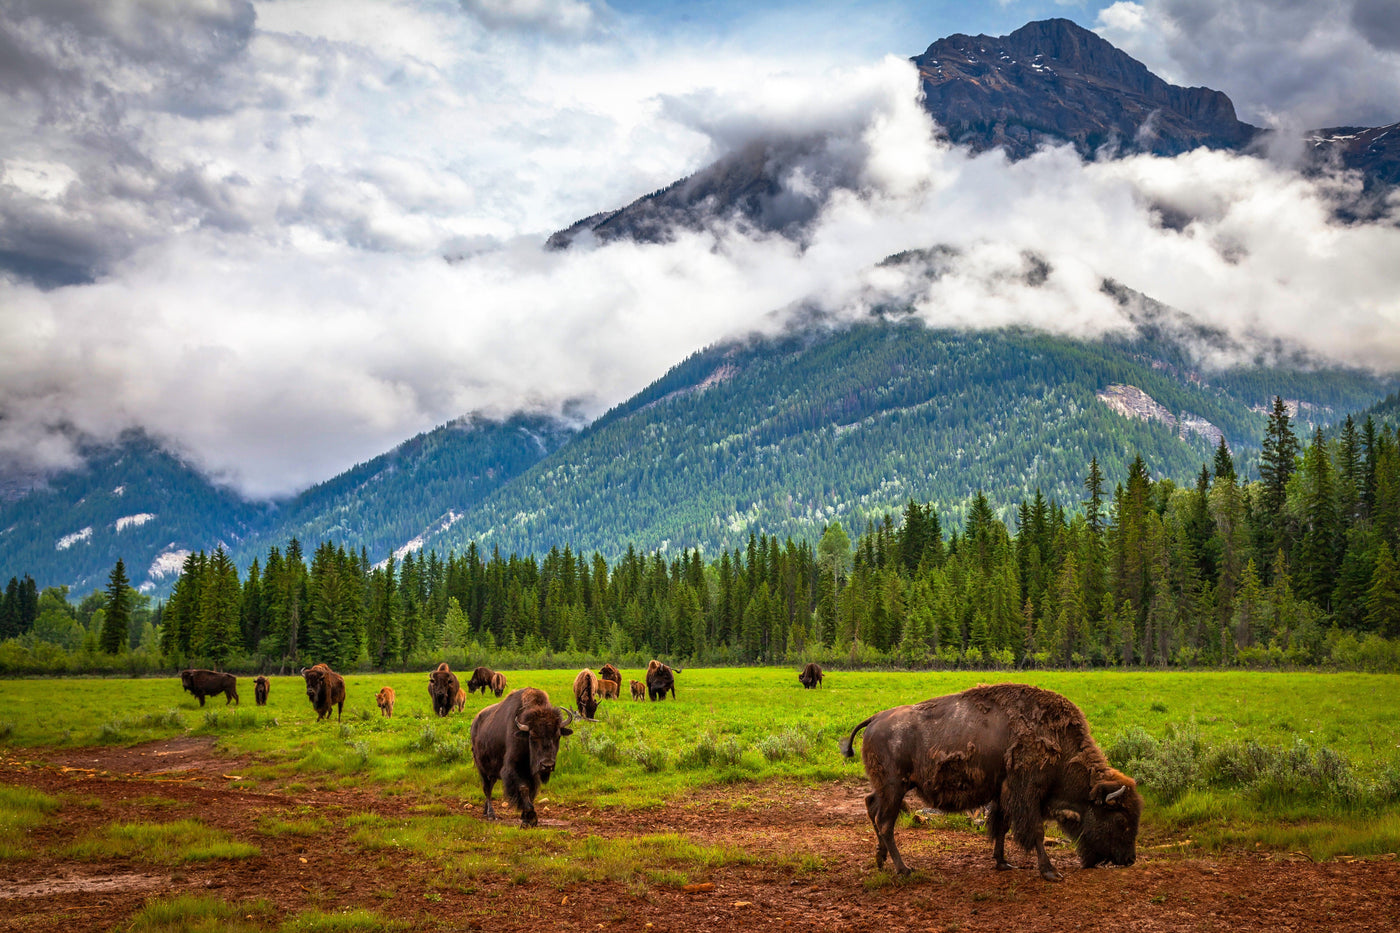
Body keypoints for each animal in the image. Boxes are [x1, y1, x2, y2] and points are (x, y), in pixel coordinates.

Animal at [470, 688, 577, 827]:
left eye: (558, 735)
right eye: (533, 736)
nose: (547, 765)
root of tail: (474, 724)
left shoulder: (532, 774)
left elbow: (531, 792)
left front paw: (525, 817)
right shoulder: (513, 768)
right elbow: (523, 788)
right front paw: (530, 818)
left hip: (492, 773)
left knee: (490, 787)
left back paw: (484, 812)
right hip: (482, 770)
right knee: (487, 789)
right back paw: (491, 815)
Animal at [840, 683, 1141, 882]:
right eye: (1120, 820)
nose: (1129, 860)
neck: (1059, 743)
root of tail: (875, 718)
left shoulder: (1003, 792)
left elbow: (1001, 826)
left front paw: (1003, 862)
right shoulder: (1026, 793)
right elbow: (1035, 831)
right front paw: (1050, 871)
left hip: (888, 788)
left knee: (871, 806)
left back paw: (881, 860)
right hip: (895, 788)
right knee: (885, 823)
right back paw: (903, 869)